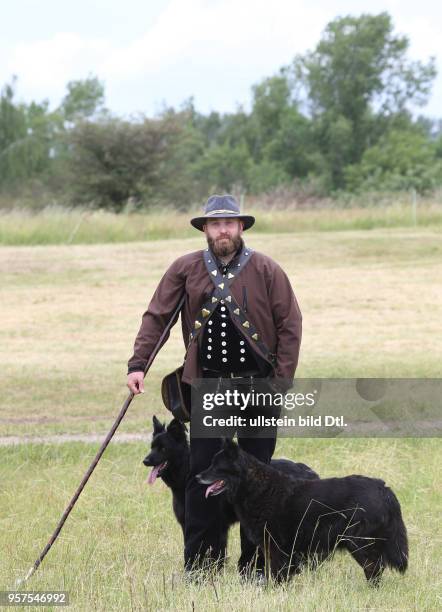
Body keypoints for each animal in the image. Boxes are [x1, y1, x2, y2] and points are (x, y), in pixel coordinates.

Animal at [197, 438, 408, 584]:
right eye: (211, 463)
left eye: (216, 466)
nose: (197, 477)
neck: (256, 487)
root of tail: (383, 488)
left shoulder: (276, 547)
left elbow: (277, 574)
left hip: (360, 542)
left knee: (375, 568)